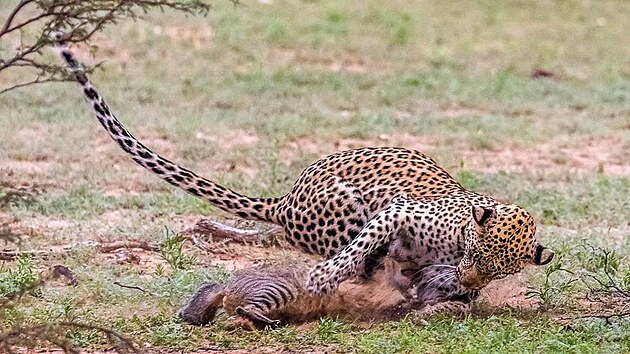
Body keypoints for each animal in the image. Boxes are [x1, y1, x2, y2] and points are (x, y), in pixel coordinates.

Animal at [55, 35, 556, 318]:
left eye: (497, 272)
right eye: (478, 254)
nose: (468, 280)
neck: (453, 240)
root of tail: (285, 200)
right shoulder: (394, 214)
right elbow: (355, 255)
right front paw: (322, 281)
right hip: (343, 210)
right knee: (353, 253)